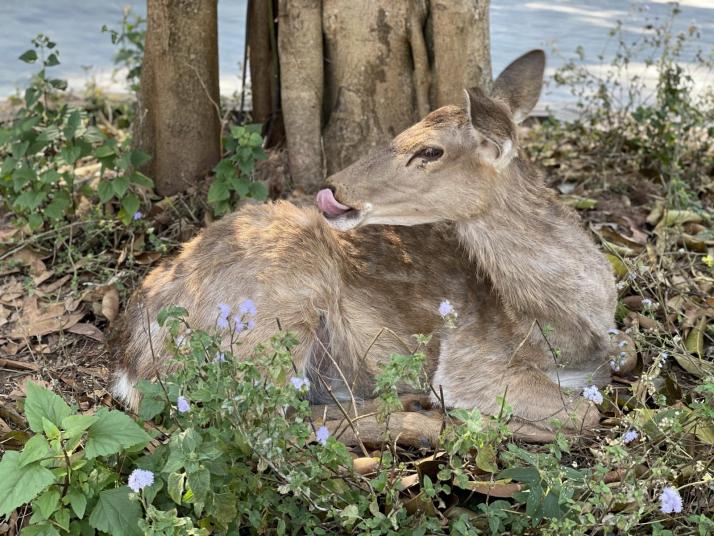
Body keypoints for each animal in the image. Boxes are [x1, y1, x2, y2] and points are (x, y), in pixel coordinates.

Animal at [108, 50, 632, 438]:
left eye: (430, 150)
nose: (334, 187)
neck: (565, 329)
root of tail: (134, 364)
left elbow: (620, 362)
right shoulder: (468, 359)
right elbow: (588, 412)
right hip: (277, 311)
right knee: (267, 422)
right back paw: (420, 412)